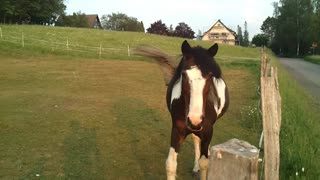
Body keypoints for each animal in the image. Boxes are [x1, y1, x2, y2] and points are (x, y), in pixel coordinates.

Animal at [134, 40, 229, 180]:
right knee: (196, 140)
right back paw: (195, 168)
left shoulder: (207, 130)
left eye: (210, 76)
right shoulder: (178, 130)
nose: (194, 120)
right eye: (184, 74)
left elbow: (204, 162)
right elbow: (171, 164)